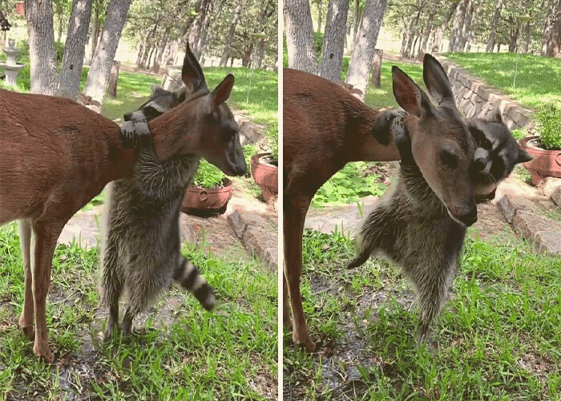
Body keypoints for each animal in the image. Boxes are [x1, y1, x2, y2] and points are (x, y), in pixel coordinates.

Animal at [100, 86, 214, 338]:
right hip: (114, 248)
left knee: (142, 290)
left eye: (151, 110)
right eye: (142, 104)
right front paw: (127, 127)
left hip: (153, 259)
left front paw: (145, 140)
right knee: (110, 278)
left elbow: (157, 176)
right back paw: (112, 310)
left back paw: (128, 317)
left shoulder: (184, 162)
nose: (127, 115)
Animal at [284, 54, 482, 354]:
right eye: (448, 155)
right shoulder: (299, 185)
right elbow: (292, 267)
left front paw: (287, 326)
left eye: (475, 151)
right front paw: (304, 339)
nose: (470, 214)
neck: (347, 136)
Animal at [346, 112, 528, 340]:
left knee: (435, 294)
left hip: (440, 262)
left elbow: (417, 181)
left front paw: (406, 151)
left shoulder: (453, 193)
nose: (480, 162)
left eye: (497, 163)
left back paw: (425, 323)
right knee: (371, 226)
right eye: (486, 142)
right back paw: (364, 251)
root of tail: (402, 261)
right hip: (388, 217)